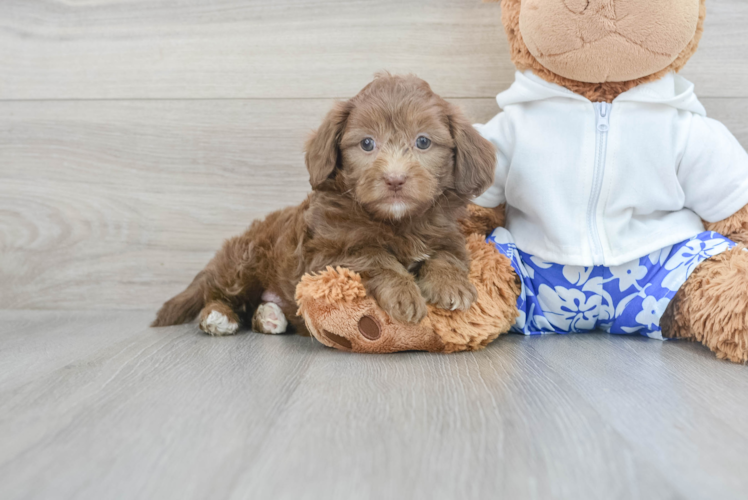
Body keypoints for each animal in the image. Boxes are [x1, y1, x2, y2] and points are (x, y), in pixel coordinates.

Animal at [150, 74, 496, 336]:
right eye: (367, 143)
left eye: (423, 141)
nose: (395, 179)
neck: (398, 221)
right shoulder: (325, 255)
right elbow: (375, 256)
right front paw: (403, 293)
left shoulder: (448, 235)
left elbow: (445, 256)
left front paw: (451, 285)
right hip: (245, 262)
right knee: (219, 293)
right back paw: (218, 316)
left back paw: (269, 316)